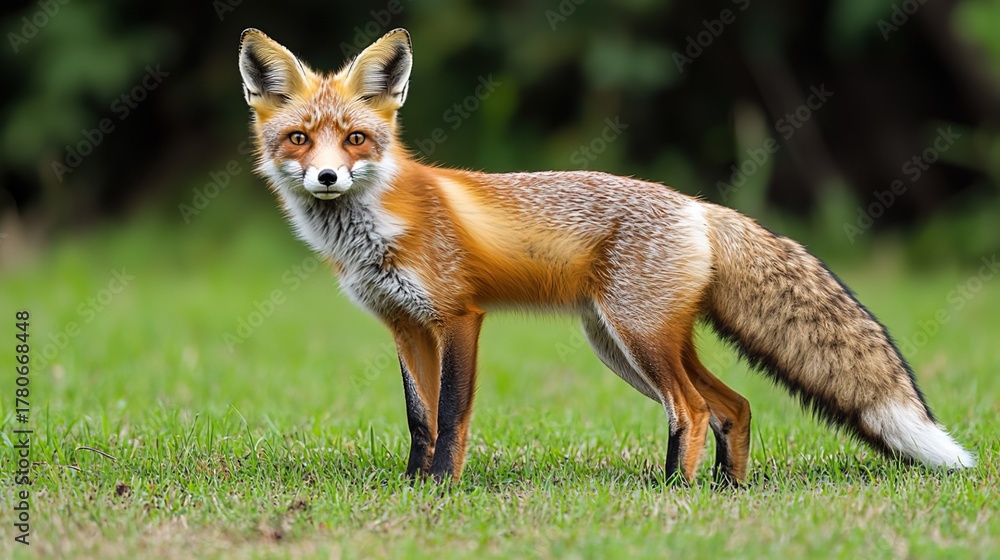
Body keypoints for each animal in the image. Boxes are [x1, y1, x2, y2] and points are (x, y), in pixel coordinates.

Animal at [237, 27, 974, 484]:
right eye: (299, 138)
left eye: (356, 139)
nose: (326, 177)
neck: (377, 226)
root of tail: (696, 205)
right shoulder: (405, 326)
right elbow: (420, 419)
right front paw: (415, 487)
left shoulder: (458, 319)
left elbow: (450, 417)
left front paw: (442, 488)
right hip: (627, 344)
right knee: (732, 405)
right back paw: (726, 494)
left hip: (639, 339)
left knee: (693, 410)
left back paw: (673, 493)